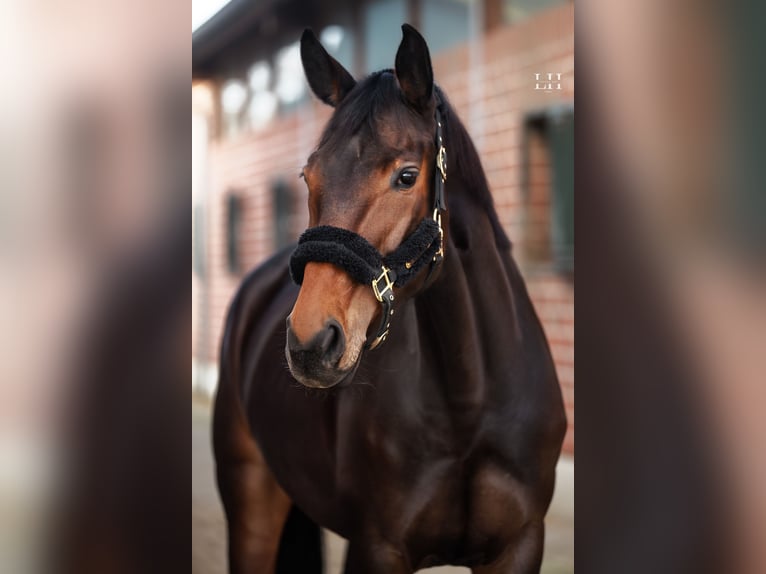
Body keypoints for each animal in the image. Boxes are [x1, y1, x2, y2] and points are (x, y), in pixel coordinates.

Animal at [213, 24, 568, 574]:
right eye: (308, 177)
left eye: (405, 176)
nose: (311, 344)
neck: (470, 401)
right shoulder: (376, 547)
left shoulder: (519, 545)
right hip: (251, 502)